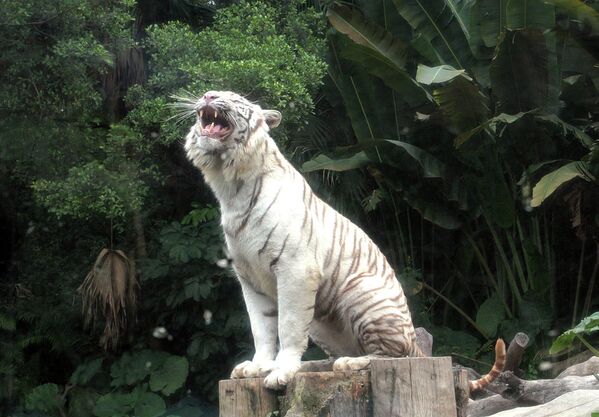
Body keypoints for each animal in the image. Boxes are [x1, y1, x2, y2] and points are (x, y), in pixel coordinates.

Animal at [183, 90, 502, 390]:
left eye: (233, 98)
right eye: (212, 93)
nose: (208, 95)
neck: (231, 185)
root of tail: (417, 343)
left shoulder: (295, 269)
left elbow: (288, 326)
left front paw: (281, 372)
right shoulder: (249, 277)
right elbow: (261, 328)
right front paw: (259, 366)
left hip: (363, 293)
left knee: (391, 354)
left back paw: (350, 363)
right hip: (321, 324)